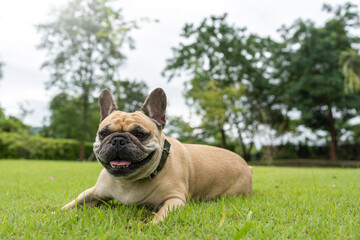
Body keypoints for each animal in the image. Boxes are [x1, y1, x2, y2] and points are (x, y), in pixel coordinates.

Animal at [62, 88, 253, 223]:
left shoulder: (174, 200)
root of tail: (247, 166)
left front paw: (152, 226)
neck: (128, 183)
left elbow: (160, 216)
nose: (117, 140)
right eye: (103, 133)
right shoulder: (94, 192)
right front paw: (58, 212)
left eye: (140, 134)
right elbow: (74, 202)